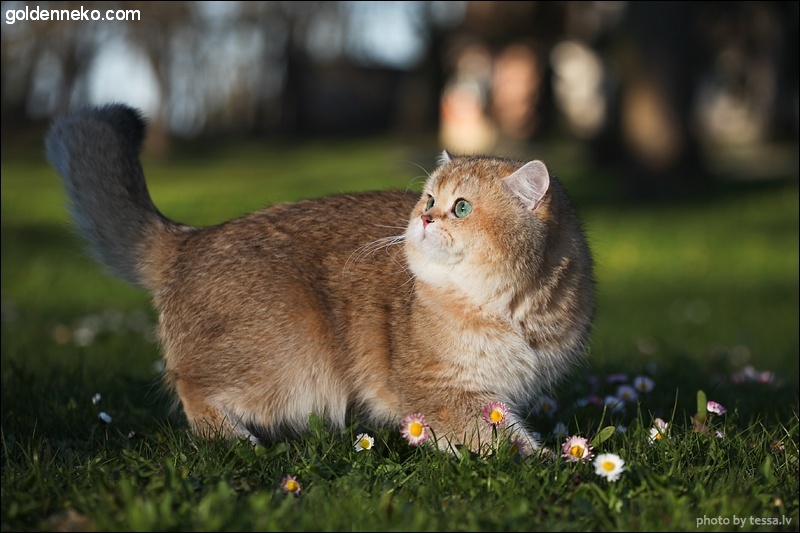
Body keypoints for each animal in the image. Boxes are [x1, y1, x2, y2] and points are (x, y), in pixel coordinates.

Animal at [45, 103, 592, 454]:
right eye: (429, 199)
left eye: (460, 208)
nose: (424, 219)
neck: (510, 309)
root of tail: (192, 239)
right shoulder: (439, 393)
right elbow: (504, 442)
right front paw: (553, 465)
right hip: (295, 356)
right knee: (189, 384)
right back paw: (233, 438)